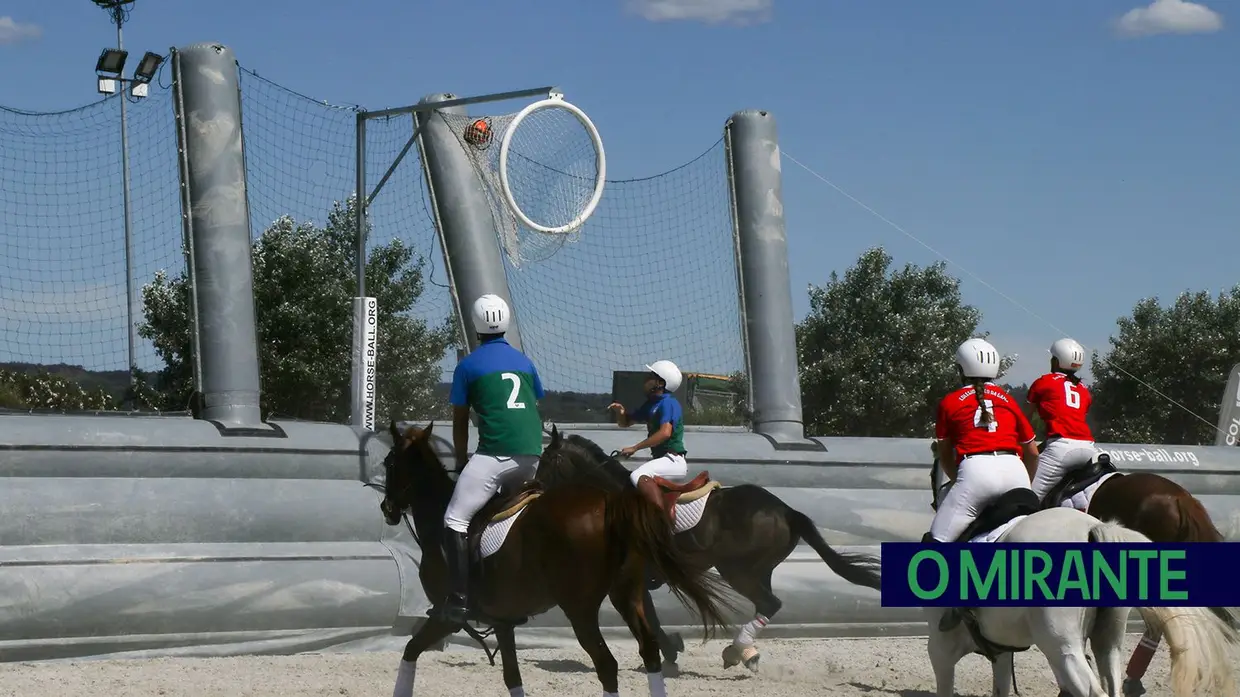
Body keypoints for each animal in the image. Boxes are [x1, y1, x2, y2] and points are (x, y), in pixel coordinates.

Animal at [376, 421, 739, 694]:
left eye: (389, 463)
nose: (387, 508)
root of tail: (610, 504)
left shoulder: (445, 615)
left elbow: (410, 652)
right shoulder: (502, 621)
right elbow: (512, 678)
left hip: (580, 609)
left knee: (607, 665)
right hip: (626, 594)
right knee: (648, 651)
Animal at [538, 426, 887, 669]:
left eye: (547, 460)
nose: (535, 488)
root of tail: (786, 510)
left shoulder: (629, 579)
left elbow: (646, 618)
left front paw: (668, 651)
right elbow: (650, 615)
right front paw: (671, 649)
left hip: (738, 570)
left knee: (770, 604)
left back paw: (737, 652)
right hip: (758, 571)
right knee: (766, 605)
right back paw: (742, 652)